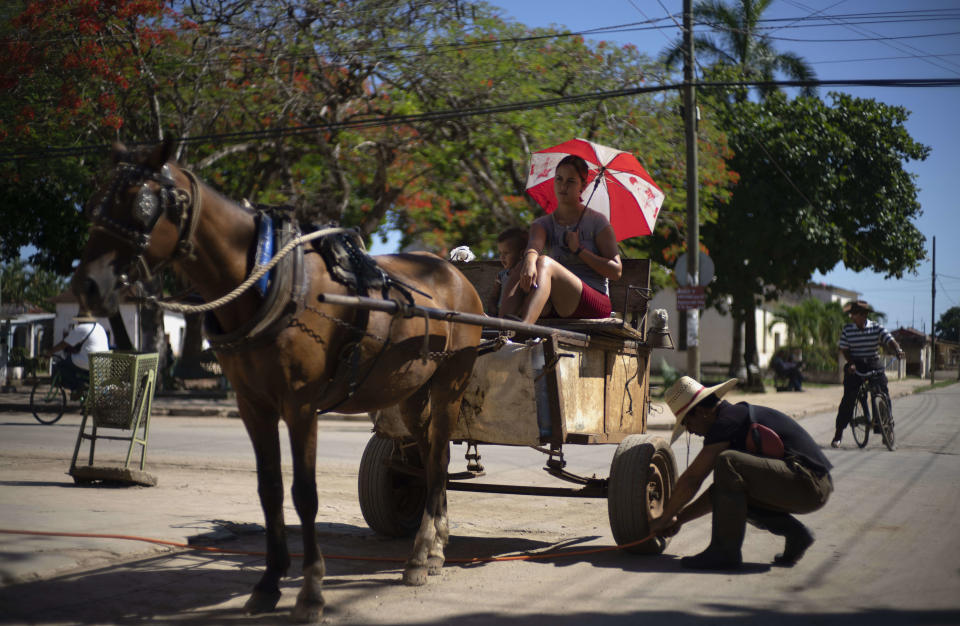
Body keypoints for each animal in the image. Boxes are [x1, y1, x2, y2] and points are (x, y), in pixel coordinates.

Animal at [71, 141, 484, 620]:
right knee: (429, 459)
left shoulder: (301, 406)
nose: (88, 285)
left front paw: (311, 593)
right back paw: (434, 546)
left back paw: (422, 556)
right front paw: (269, 582)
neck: (271, 284)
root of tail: (455, 273)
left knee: (438, 460)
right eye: (97, 202)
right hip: (413, 393)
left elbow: (304, 493)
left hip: (451, 384)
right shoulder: (254, 405)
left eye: (141, 204)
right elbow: (269, 489)